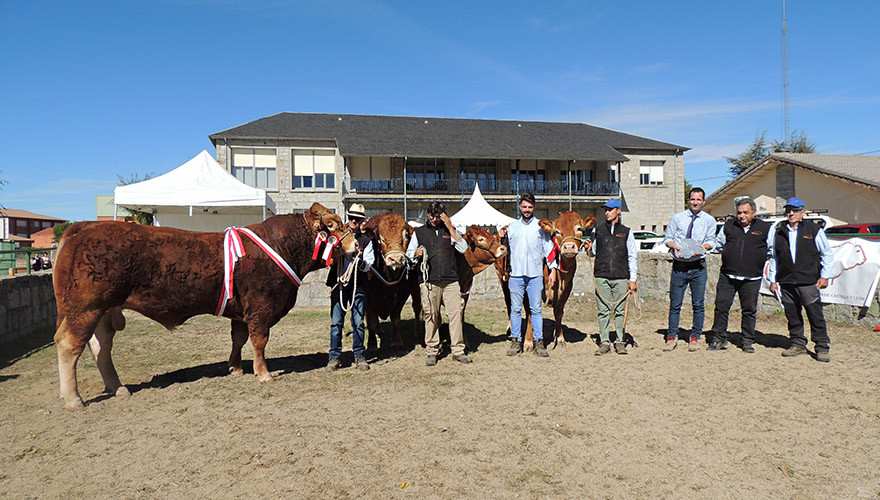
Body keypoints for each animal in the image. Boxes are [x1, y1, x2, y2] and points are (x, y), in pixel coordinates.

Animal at [52, 203, 354, 409]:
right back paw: (73, 398)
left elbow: (238, 338)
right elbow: (259, 340)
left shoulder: (241, 310)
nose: (355, 244)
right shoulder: (261, 306)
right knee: (70, 345)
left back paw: (118, 388)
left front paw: (235, 368)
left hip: (104, 311)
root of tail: (83, 227)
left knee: (101, 348)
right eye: (332, 225)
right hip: (85, 308)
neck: (281, 245)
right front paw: (264, 373)